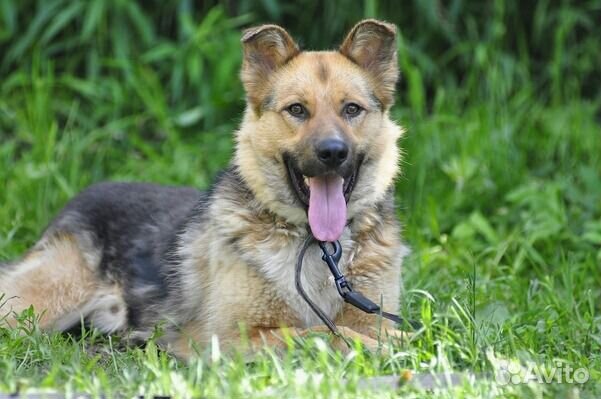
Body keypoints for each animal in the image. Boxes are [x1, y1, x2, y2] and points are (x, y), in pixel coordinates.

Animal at [0, 18, 408, 358]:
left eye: (351, 109)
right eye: (297, 110)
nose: (333, 153)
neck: (319, 246)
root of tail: (78, 201)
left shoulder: (371, 315)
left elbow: (377, 329)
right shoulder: (230, 337)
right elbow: (325, 333)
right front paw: (376, 348)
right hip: (40, 306)